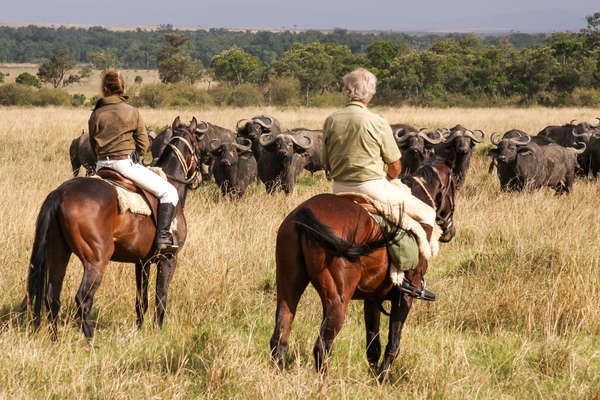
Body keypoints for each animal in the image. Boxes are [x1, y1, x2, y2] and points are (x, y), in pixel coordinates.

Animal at [26, 115, 202, 338]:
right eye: (197, 145)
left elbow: (141, 301)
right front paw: (158, 332)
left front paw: (139, 331)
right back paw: (91, 339)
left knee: (52, 297)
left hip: (58, 254)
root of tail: (61, 193)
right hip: (96, 260)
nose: (200, 177)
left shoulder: (142, 262)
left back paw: (55, 339)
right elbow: (160, 299)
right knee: (83, 299)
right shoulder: (169, 259)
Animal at [270, 155, 458, 382]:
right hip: (337, 300)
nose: (450, 231)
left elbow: (373, 345)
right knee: (322, 346)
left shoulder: (372, 299)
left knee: (280, 338)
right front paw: (381, 380)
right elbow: (393, 344)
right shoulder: (406, 297)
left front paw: (373, 376)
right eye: (454, 186)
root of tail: (303, 213)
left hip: (288, 288)